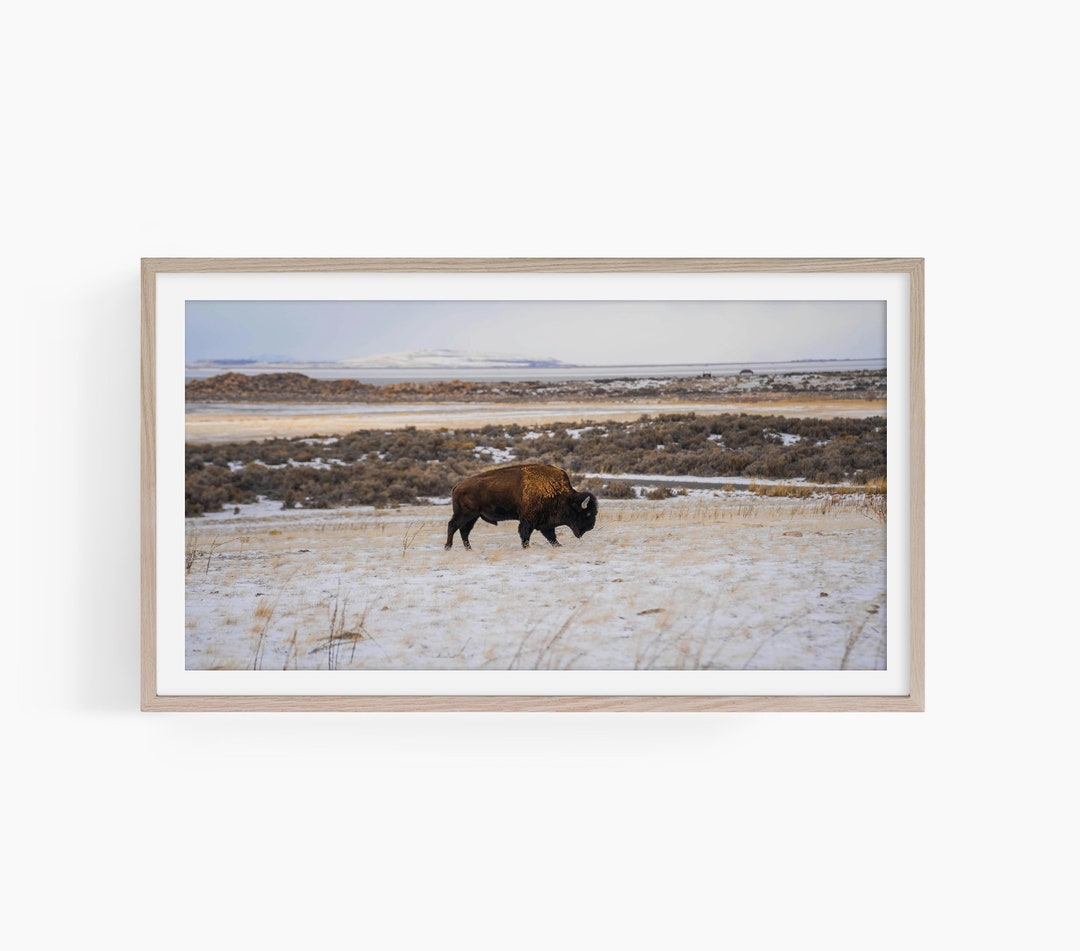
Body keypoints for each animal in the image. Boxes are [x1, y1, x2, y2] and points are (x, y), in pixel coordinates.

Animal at [445, 464, 598, 550]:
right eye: (587, 513)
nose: (590, 527)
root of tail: (457, 486)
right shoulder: (528, 520)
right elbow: (525, 534)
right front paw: (526, 547)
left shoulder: (545, 522)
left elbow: (551, 536)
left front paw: (558, 545)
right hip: (465, 515)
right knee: (453, 526)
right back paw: (448, 547)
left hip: (473, 517)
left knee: (464, 531)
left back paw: (469, 548)